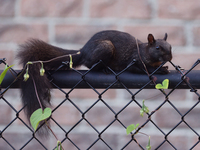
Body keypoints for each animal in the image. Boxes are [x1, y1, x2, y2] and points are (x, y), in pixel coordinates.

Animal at [16, 29, 172, 133]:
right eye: (157, 48)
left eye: (170, 46)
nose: (170, 57)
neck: (145, 51)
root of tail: (83, 52)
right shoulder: (134, 60)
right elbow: (140, 69)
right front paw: (159, 70)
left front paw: (163, 66)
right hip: (105, 48)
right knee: (91, 65)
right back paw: (105, 69)